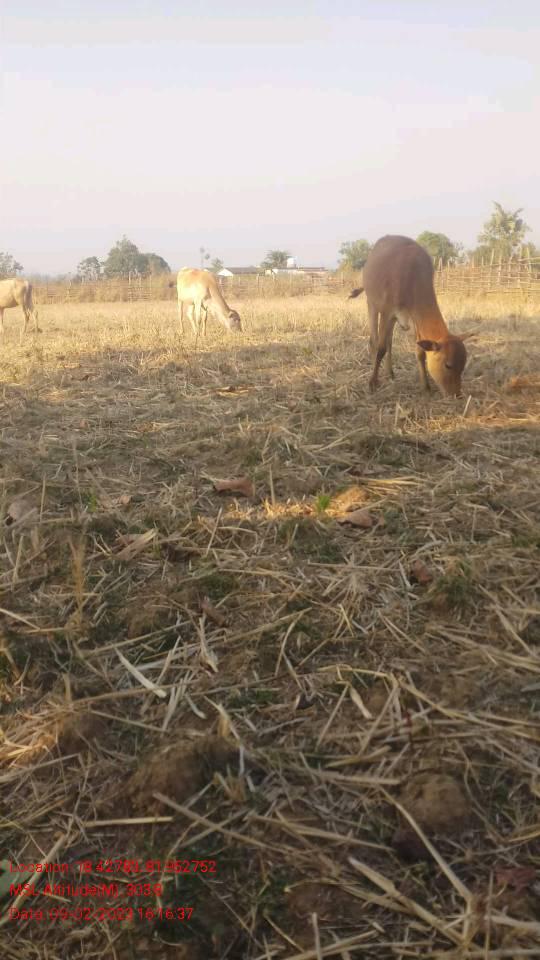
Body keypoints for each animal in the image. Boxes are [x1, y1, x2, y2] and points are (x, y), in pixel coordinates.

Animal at [349, 236, 473, 397]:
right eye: (448, 365)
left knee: (389, 342)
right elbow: (381, 348)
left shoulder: (414, 319)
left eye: (463, 365)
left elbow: (420, 352)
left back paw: (390, 372)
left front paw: (425, 386)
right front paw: (373, 382)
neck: (412, 278)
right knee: (374, 340)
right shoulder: (387, 312)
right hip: (372, 305)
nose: (456, 394)